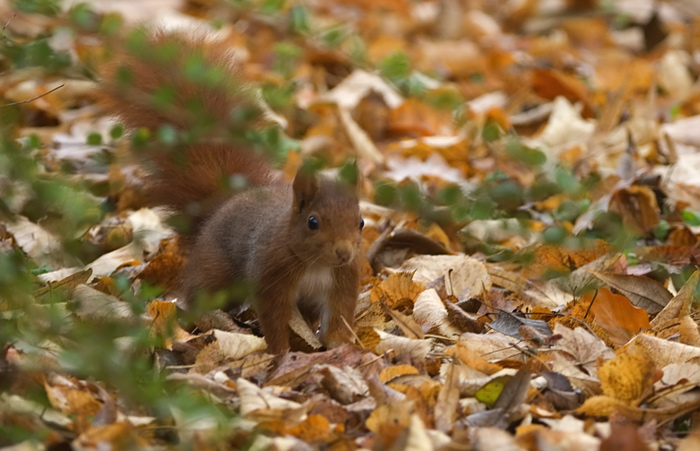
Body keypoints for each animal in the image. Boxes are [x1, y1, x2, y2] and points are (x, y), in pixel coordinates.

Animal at [98, 30, 364, 354]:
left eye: (361, 222)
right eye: (313, 222)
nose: (344, 253)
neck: (317, 265)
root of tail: (222, 206)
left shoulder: (342, 281)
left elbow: (339, 317)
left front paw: (341, 346)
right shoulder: (270, 278)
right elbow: (274, 320)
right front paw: (280, 353)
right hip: (217, 273)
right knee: (200, 294)